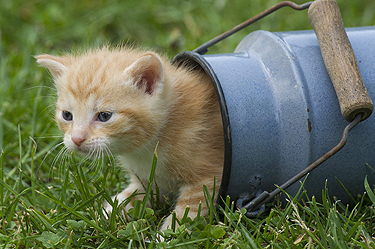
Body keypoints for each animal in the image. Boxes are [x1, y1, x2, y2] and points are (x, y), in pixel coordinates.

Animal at [35, 46, 223, 230]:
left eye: (104, 116)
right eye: (67, 115)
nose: (76, 139)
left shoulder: (208, 177)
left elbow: (188, 213)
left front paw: (166, 235)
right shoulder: (149, 180)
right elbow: (129, 197)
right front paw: (103, 215)